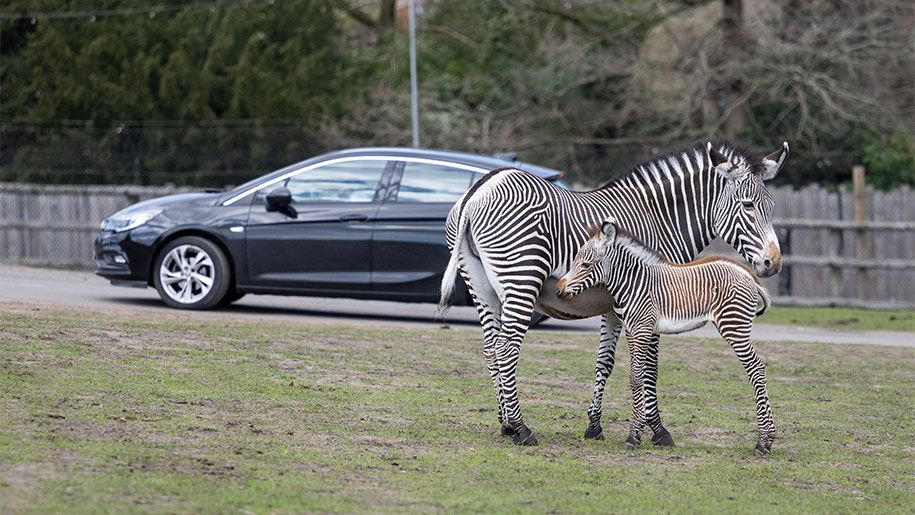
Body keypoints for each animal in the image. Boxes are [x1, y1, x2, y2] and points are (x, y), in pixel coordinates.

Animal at [556, 217, 776, 456]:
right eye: (574, 261)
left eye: (586, 265)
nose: (558, 290)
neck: (633, 283)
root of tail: (749, 276)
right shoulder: (632, 331)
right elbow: (639, 376)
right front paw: (640, 431)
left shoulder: (642, 329)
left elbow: (636, 378)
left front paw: (633, 435)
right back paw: (766, 440)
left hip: (734, 325)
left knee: (756, 368)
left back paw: (763, 443)